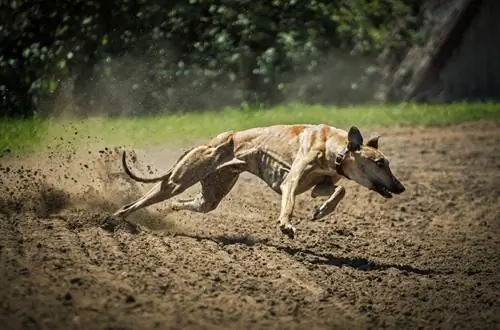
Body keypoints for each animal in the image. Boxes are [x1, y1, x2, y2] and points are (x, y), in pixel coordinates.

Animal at [112, 125, 406, 238]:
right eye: (381, 163)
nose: (400, 187)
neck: (335, 148)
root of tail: (210, 142)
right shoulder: (291, 183)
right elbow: (289, 204)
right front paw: (286, 225)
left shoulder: (320, 185)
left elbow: (341, 188)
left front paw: (322, 211)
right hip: (176, 181)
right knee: (134, 204)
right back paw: (114, 219)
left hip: (210, 196)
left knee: (188, 202)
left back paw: (165, 212)